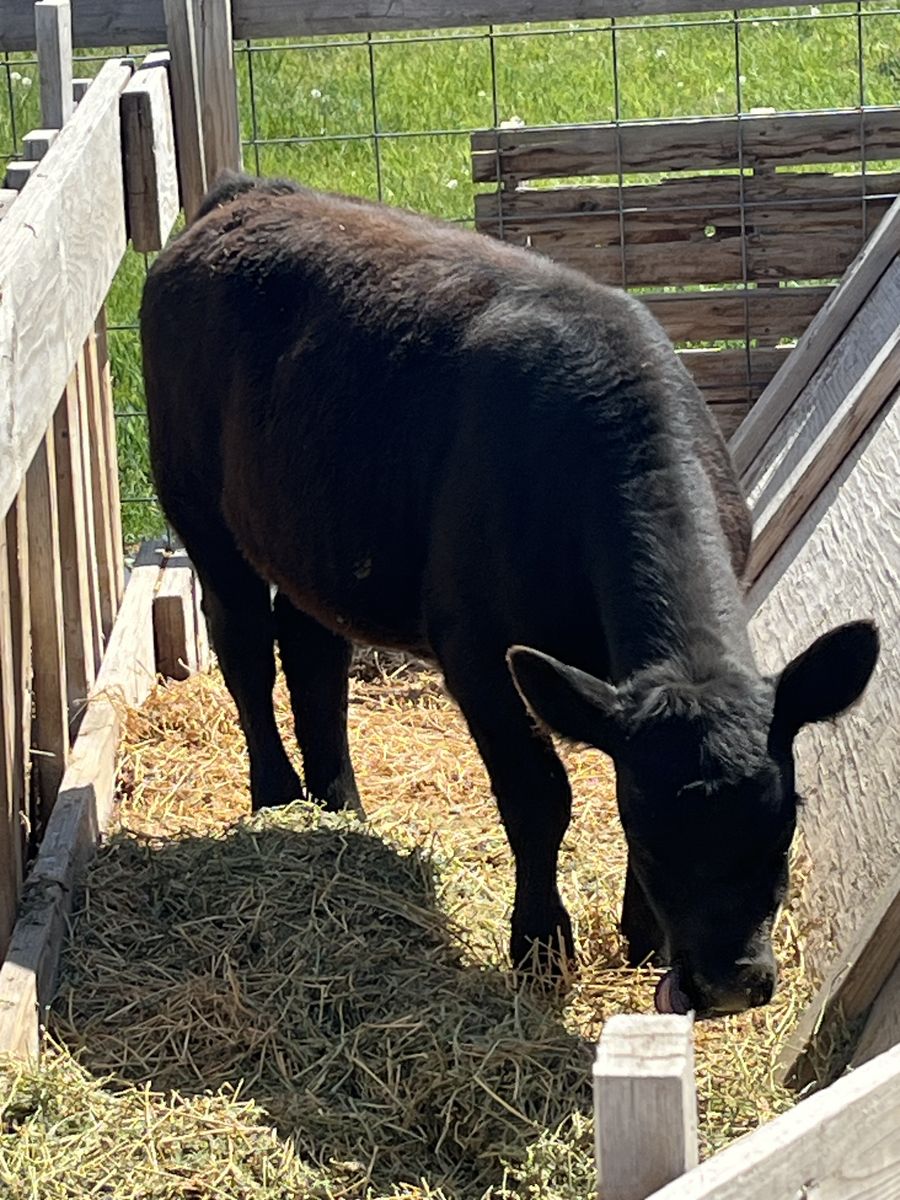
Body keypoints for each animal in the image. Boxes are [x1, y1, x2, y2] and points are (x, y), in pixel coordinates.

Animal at [140, 172, 879, 1017]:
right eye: (651, 830)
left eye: (782, 825)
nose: (727, 983)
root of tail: (245, 195)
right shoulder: (478, 649)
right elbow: (538, 797)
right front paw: (539, 947)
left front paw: (642, 940)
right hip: (197, 504)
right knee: (242, 644)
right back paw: (274, 793)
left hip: (310, 527)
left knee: (312, 650)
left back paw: (339, 805)